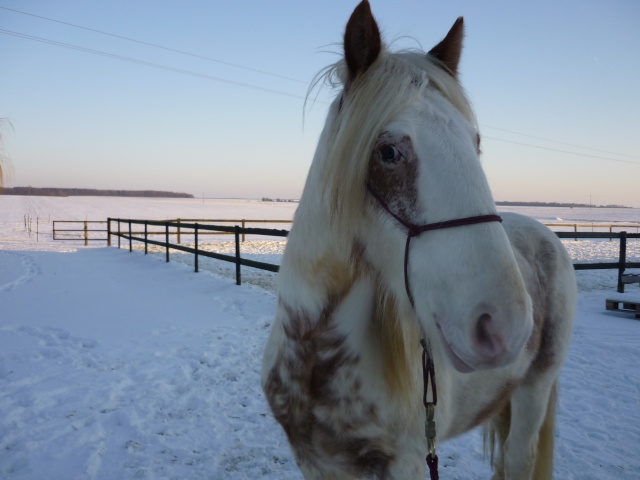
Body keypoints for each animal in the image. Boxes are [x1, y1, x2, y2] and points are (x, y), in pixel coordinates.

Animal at [262, 1, 576, 478]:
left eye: (475, 142)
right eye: (388, 152)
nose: (506, 325)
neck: (318, 354)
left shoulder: (405, 462)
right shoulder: (316, 463)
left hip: (534, 393)